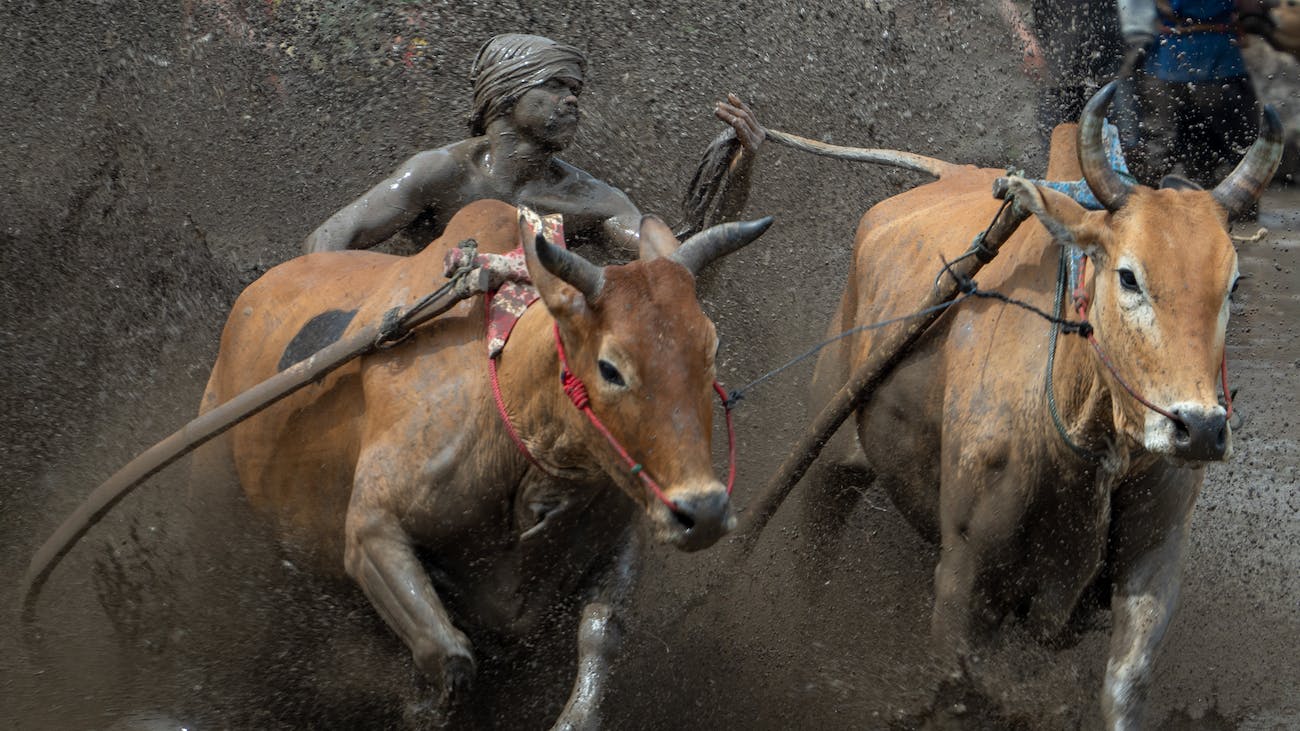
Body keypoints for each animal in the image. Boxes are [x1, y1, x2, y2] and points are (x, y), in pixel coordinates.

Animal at [202, 196, 769, 723]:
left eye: (712, 349)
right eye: (610, 367)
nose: (704, 512)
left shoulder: (622, 535)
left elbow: (601, 633)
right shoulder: (372, 529)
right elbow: (449, 657)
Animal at [806, 82, 1284, 723]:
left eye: (1232, 284)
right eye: (1128, 276)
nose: (1201, 429)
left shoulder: (1154, 561)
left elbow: (1123, 687)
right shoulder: (964, 579)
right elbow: (963, 690)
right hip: (827, 463)